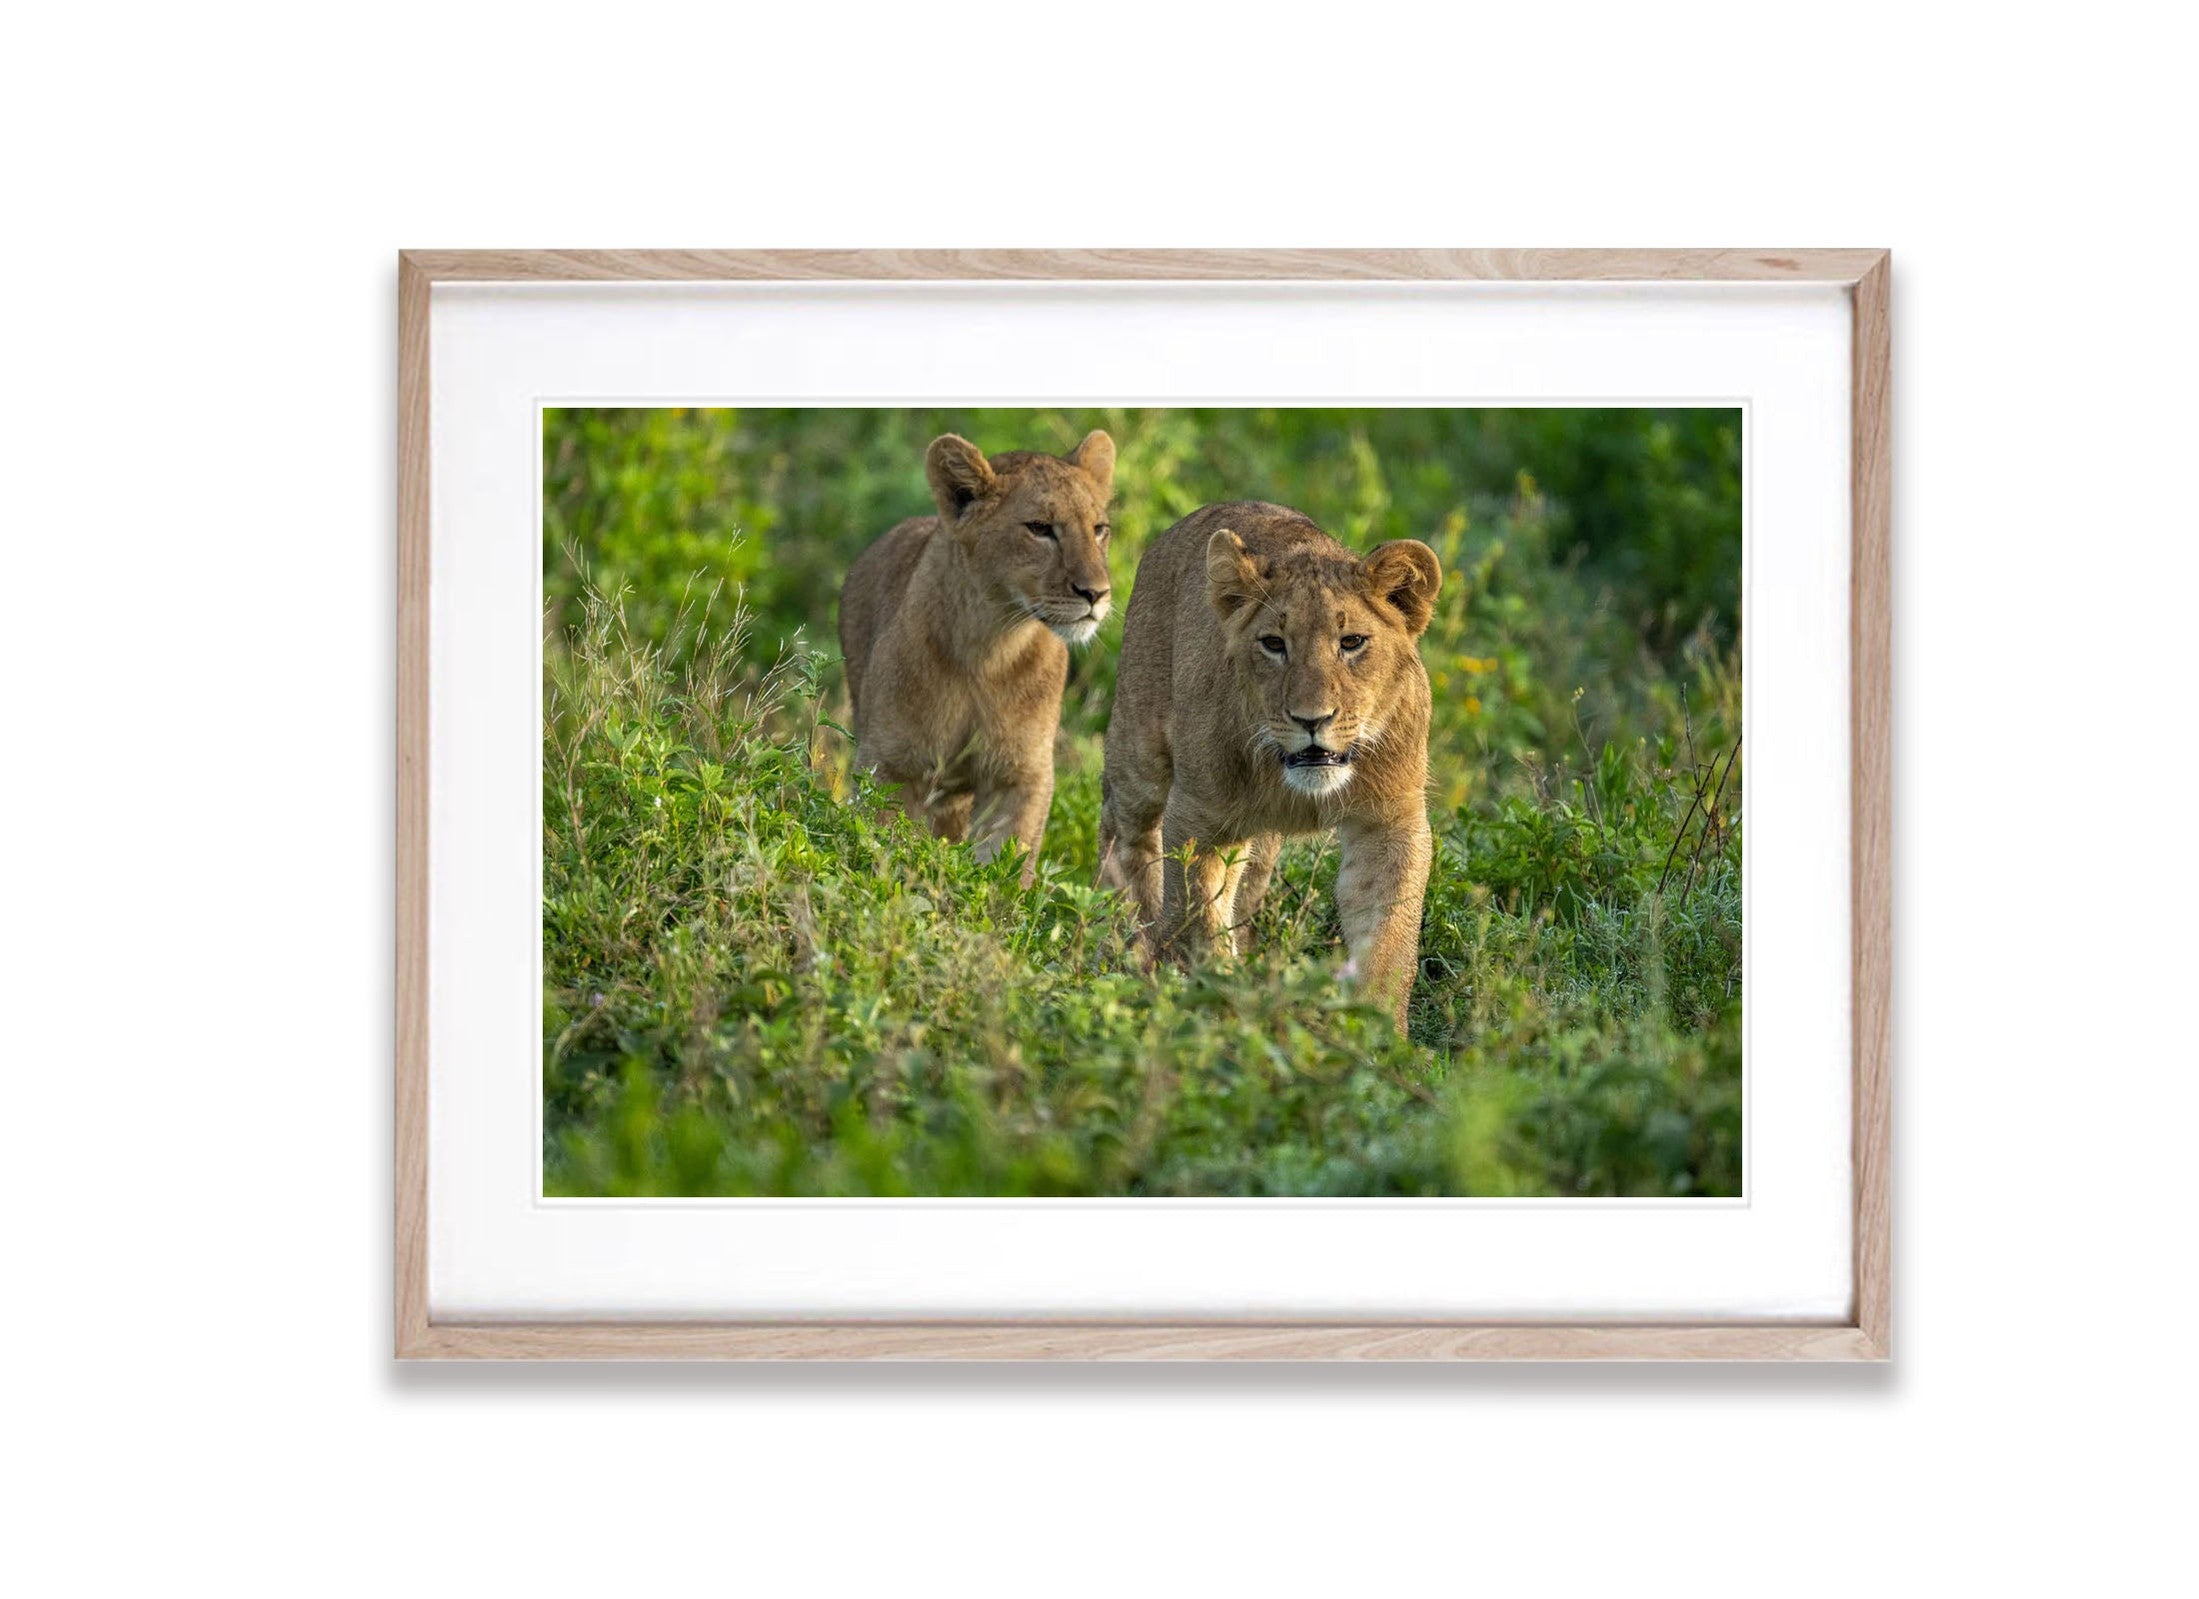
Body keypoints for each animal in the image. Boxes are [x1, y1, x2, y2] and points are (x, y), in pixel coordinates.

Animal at [838, 430, 1115, 885]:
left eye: (1099, 529)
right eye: (1039, 528)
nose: (1096, 593)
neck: (991, 645)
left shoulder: (1020, 775)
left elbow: (1005, 865)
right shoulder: (891, 766)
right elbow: (886, 849)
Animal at [1097, 501, 1443, 1028]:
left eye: (1352, 642)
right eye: (1274, 644)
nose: (1311, 719)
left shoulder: (1389, 821)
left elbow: (1388, 936)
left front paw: (1377, 1032)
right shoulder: (1200, 816)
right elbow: (1201, 918)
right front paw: (1221, 1005)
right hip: (1139, 748)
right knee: (1125, 832)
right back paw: (1131, 935)